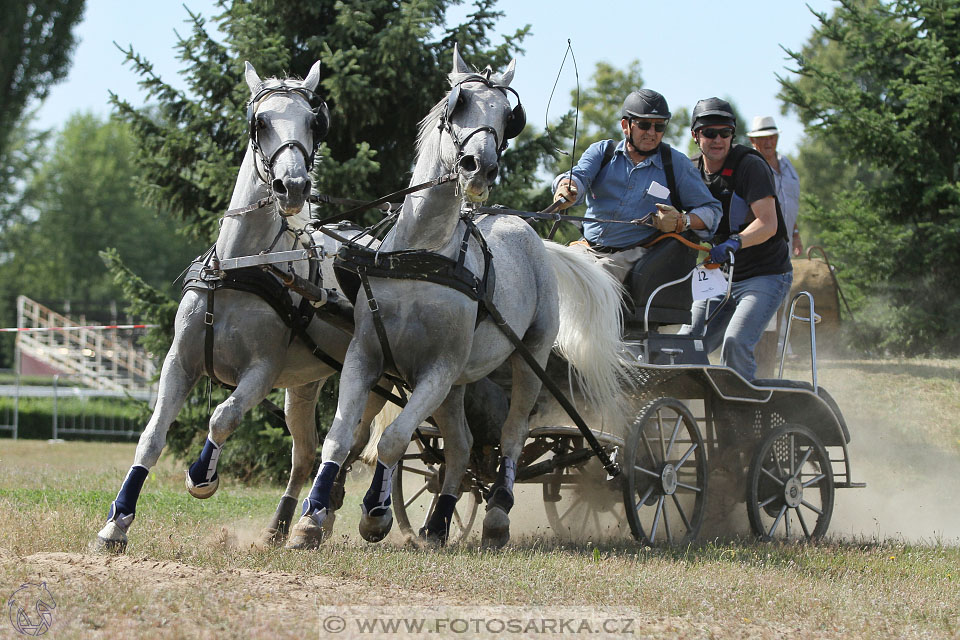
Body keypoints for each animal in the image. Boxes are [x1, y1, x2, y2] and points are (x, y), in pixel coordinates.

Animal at [95, 61, 384, 556]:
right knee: (308, 454)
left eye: (314, 123)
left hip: (381, 379)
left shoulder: (262, 371)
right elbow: (151, 437)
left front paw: (202, 476)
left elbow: (222, 416)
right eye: (260, 122)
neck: (240, 268)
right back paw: (289, 523)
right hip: (304, 386)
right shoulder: (180, 361)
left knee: (370, 441)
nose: (293, 186)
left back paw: (350, 510)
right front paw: (117, 524)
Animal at [288, 45, 632, 552]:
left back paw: (497, 516)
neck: (423, 256)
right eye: (459, 103)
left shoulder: (438, 368)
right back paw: (438, 522)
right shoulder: (368, 357)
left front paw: (375, 514)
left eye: (509, 116)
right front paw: (310, 521)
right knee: (463, 444)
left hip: (528, 357)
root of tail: (526, 230)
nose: (479, 167)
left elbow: (392, 439)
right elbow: (340, 437)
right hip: (457, 386)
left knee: (512, 433)